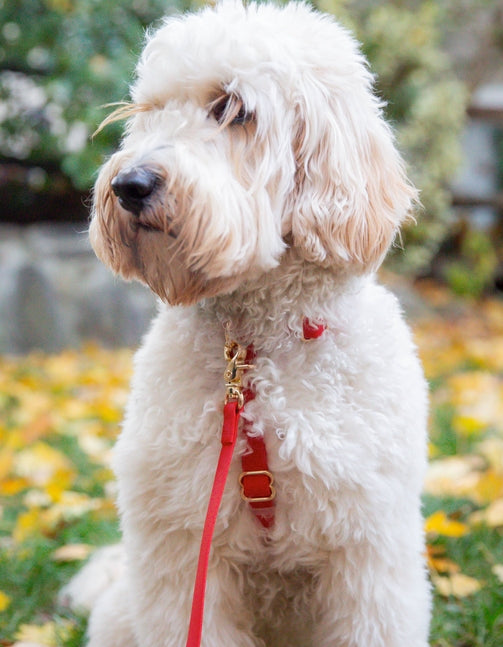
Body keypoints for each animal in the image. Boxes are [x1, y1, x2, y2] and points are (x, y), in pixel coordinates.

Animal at [65, 2, 432, 644]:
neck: (254, 351)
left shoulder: (367, 547)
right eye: (150, 111)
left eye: (231, 108)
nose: (128, 185)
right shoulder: (186, 548)